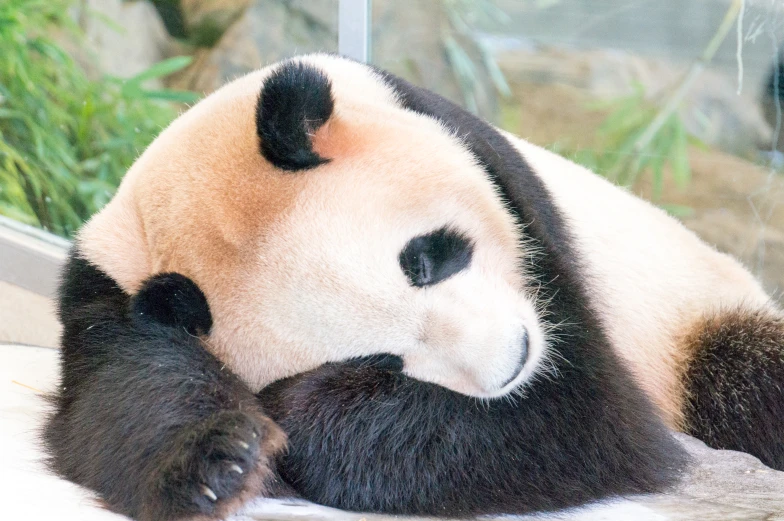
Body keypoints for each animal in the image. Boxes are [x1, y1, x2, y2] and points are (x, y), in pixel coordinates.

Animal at [44, 53, 784, 520]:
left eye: (423, 260)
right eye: (380, 360)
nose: (512, 359)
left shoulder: (509, 190)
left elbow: (591, 421)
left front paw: (292, 416)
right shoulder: (107, 293)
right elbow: (123, 389)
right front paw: (219, 460)